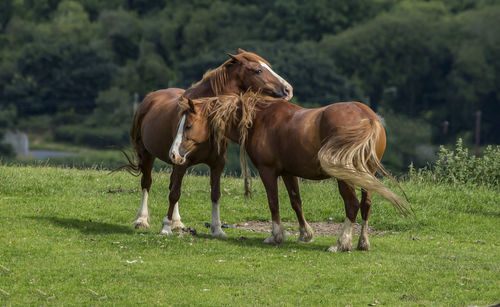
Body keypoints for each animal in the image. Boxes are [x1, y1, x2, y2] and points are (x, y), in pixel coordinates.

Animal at [117, 50, 292, 238]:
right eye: (258, 70)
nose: (288, 89)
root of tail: (150, 97)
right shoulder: (181, 161)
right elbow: (174, 194)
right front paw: (165, 227)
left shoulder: (216, 163)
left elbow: (215, 194)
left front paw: (217, 229)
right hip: (148, 154)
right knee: (147, 183)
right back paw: (142, 220)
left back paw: (177, 223)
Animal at [172, 94, 410, 253]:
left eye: (188, 126)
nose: (174, 154)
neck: (259, 119)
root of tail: (368, 118)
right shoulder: (288, 172)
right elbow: (296, 202)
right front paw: (305, 234)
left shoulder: (268, 171)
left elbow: (273, 202)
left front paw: (276, 236)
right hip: (365, 173)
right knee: (366, 204)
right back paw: (362, 242)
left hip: (346, 177)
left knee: (352, 205)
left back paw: (341, 243)